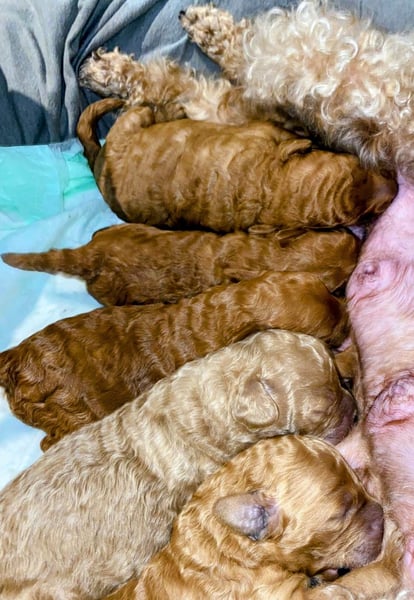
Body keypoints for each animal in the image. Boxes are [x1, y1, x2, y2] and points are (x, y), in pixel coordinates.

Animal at [0, 270, 348, 450]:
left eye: (333, 293)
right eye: (328, 334)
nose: (348, 318)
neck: (220, 315)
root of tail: (13, 361)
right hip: (68, 413)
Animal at [75, 96, 395, 230]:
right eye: (355, 165)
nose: (395, 187)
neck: (270, 187)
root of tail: (96, 161)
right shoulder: (264, 130)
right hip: (128, 125)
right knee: (135, 111)